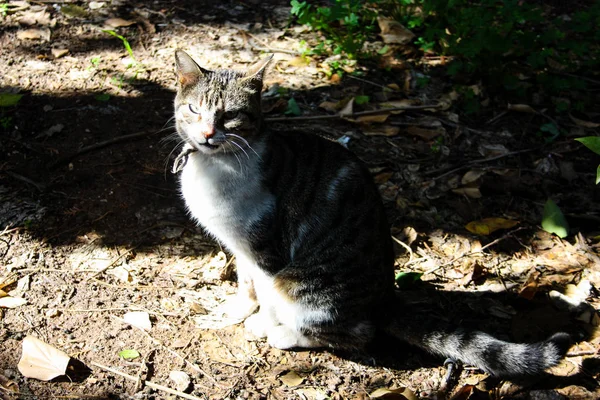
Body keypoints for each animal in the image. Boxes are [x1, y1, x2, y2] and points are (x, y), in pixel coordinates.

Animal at [171, 49, 568, 376]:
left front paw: (261, 324)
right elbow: (246, 284)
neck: (215, 166)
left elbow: (265, 295)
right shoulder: (240, 247)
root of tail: (386, 300)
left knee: (360, 333)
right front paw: (236, 311)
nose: (207, 134)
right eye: (194, 110)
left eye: (230, 116)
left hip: (307, 288)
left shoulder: (269, 250)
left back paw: (286, 333)